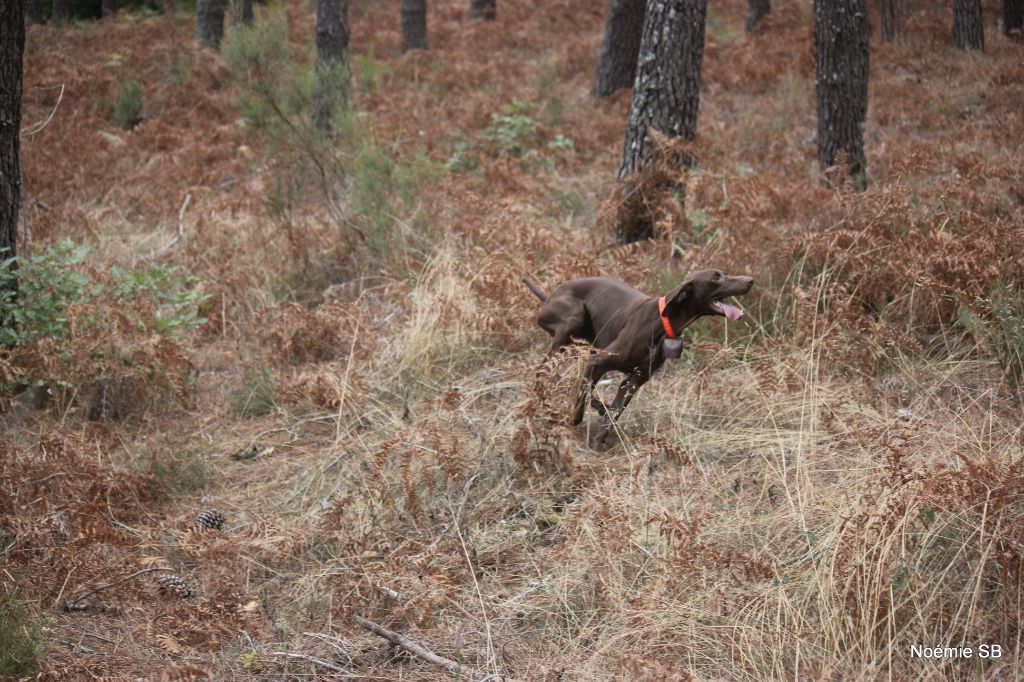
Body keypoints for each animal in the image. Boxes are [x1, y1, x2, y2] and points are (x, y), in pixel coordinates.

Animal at [523, 269, 753, 448]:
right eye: (716, 277)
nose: (750, 280)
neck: (662, 321)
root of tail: (550, 295)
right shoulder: (598, 362)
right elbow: (583, 396)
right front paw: (573, 421)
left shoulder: (634, 381)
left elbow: (615, 413)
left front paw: (597, 442)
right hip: (573, 321)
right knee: (545, 371)